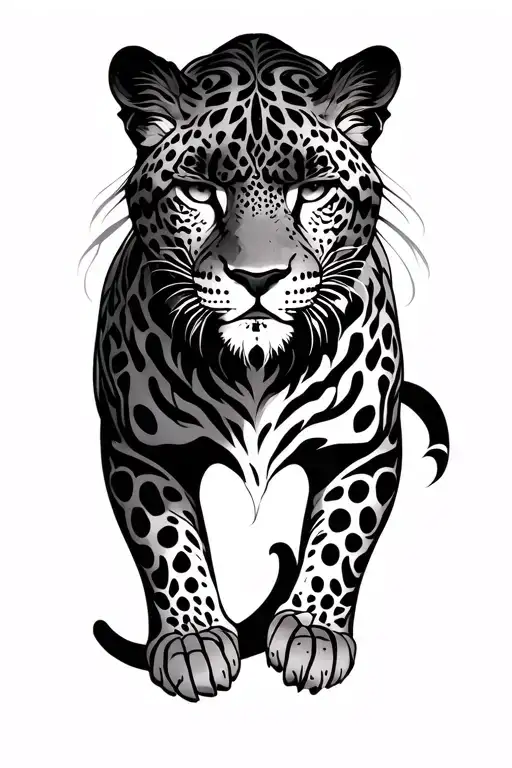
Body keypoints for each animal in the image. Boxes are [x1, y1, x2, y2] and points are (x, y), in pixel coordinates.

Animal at [91, 33, 449, 701]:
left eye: (312, 190)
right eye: (200, 190)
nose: (257, 278)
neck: (255, 369)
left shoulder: (364, 446)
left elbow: (340, 535)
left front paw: (312, 634)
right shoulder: (140, 447)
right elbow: (169, 542)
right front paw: (193, 642)